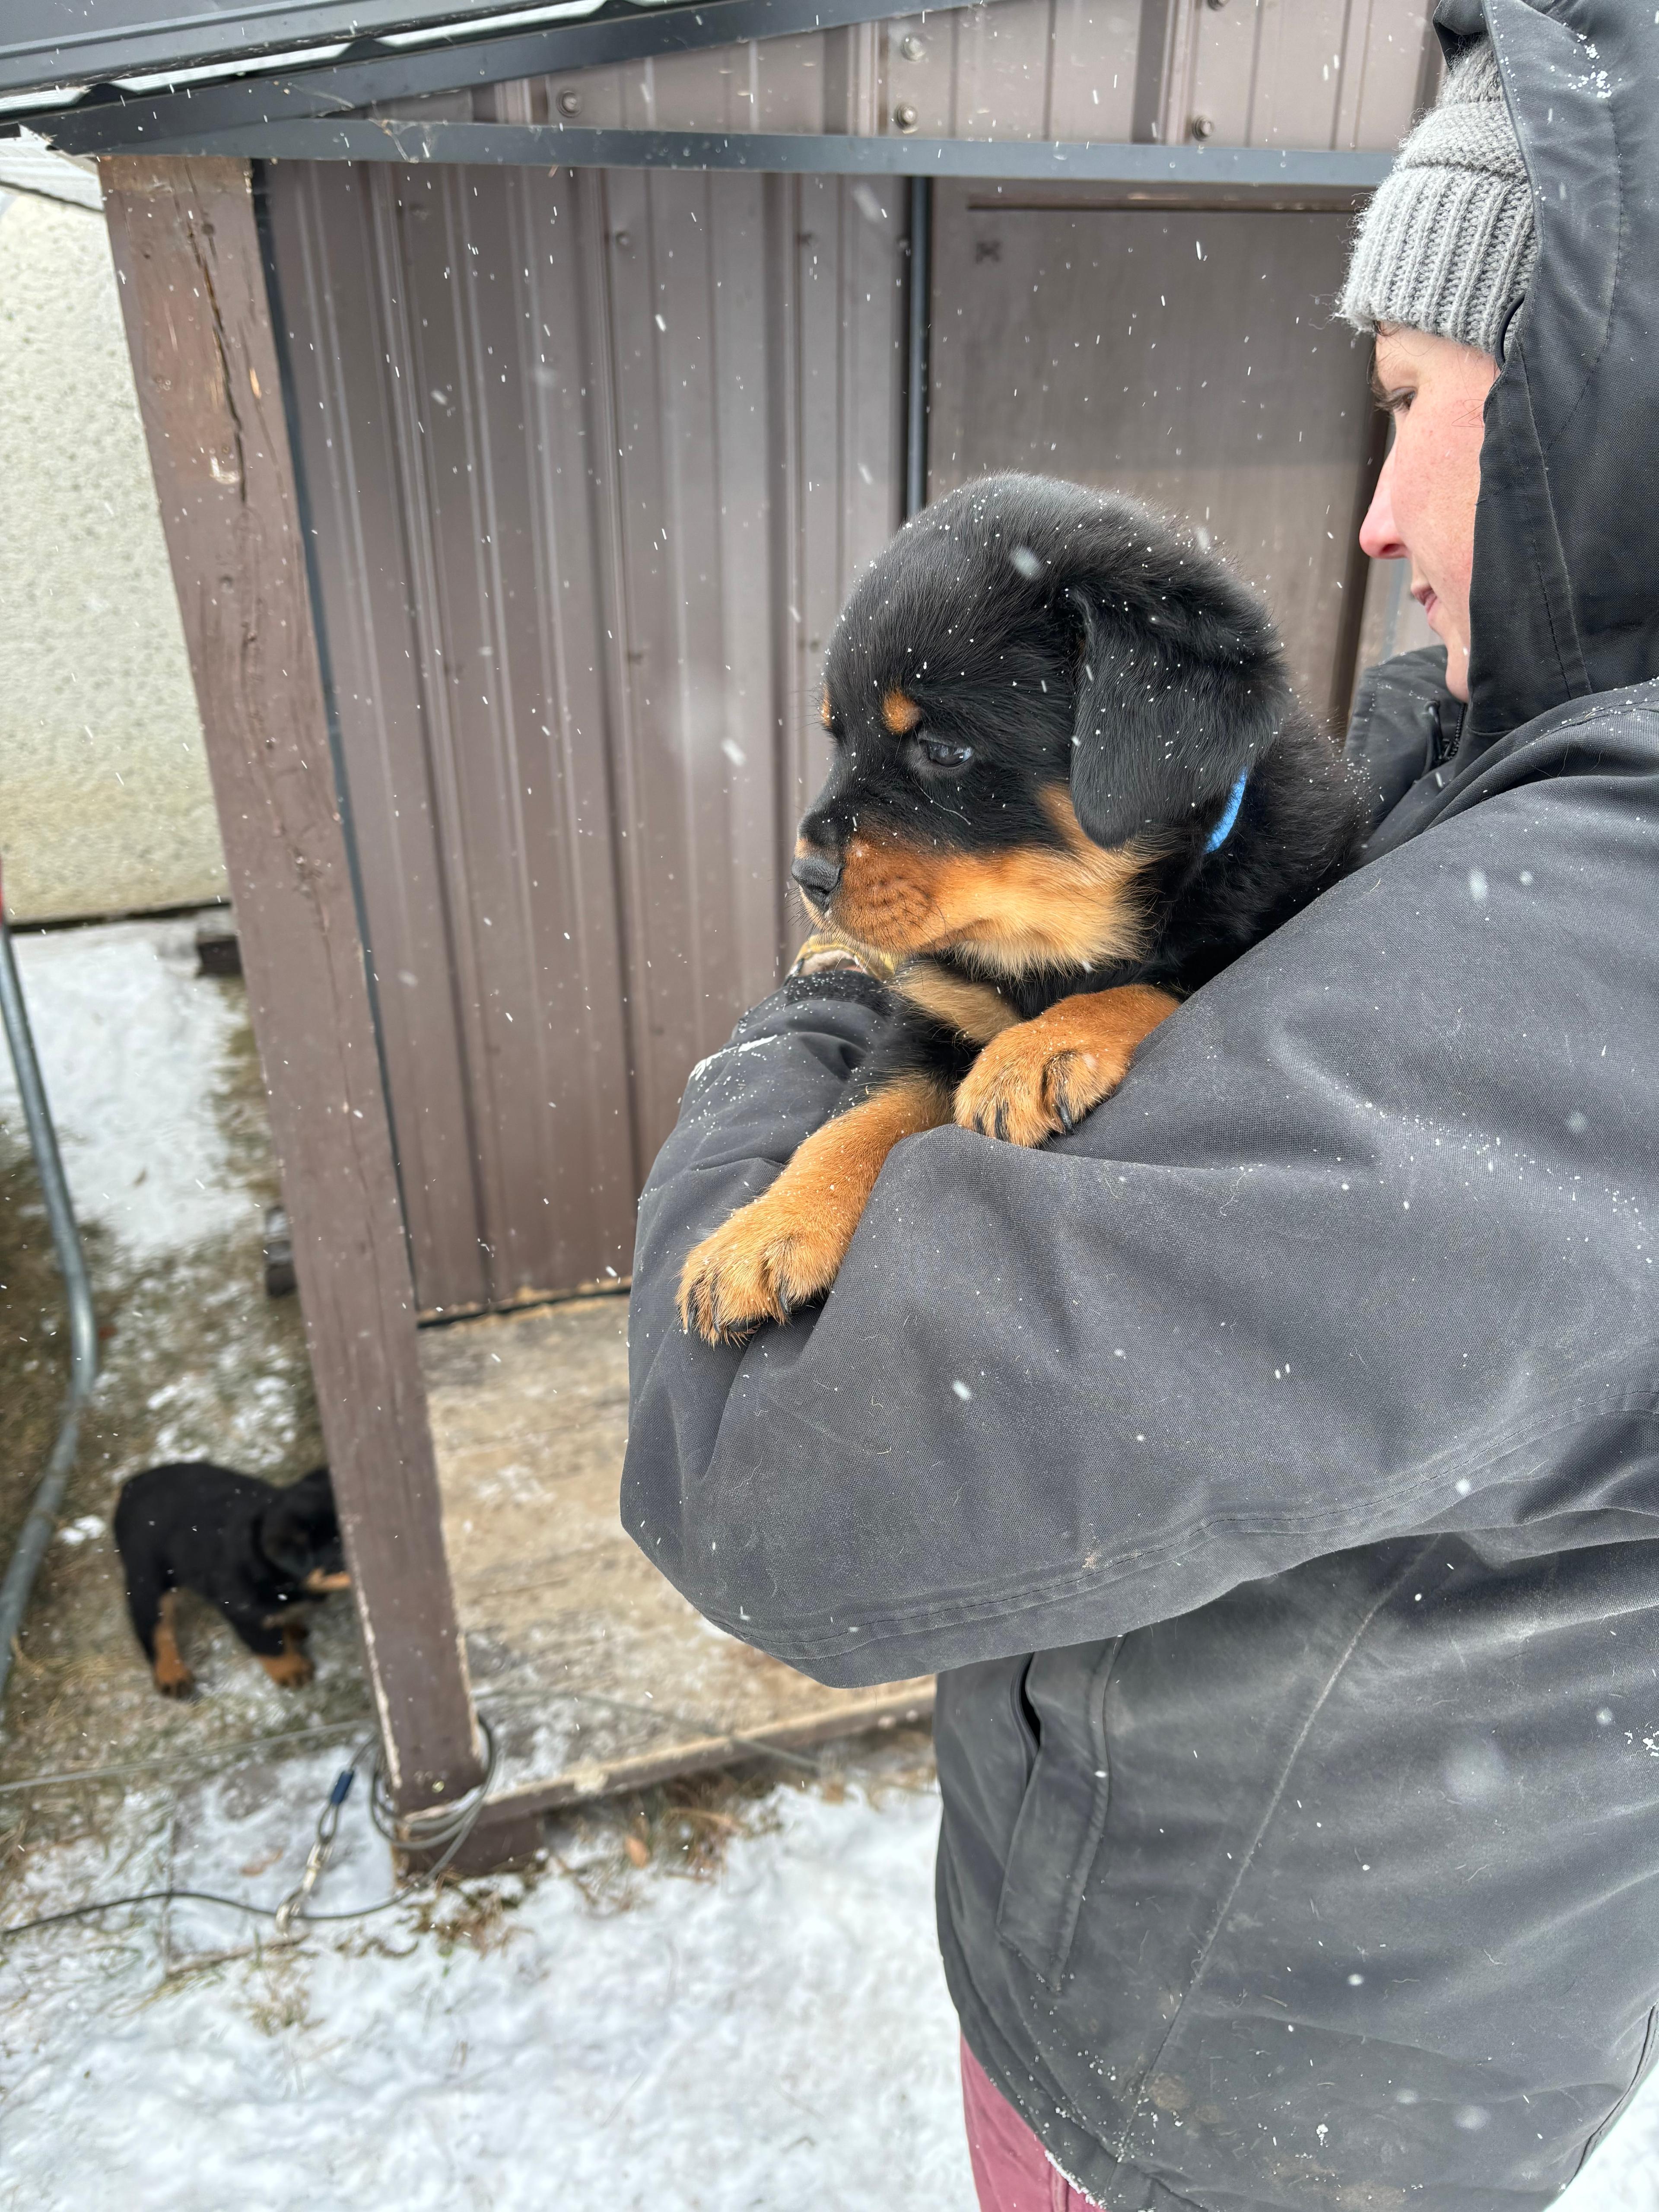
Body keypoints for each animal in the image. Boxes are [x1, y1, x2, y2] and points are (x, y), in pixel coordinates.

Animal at [114, 1460, 352, 1699]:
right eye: (344, 1557)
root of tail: (128, 1489)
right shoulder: (244, 1612)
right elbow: (271, 1647)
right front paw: (292, 1671)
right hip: (148, 1580)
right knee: (155, 1628)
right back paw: (172, 1674)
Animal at [677, 473, 1362, 1336]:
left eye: (942, 749)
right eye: (838, 736)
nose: (806, 874)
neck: (1047, 944)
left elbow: (1152, 983)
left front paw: (1037, 1050)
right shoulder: (932, 1012)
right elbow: (854, 1120)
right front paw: (761, 1233)